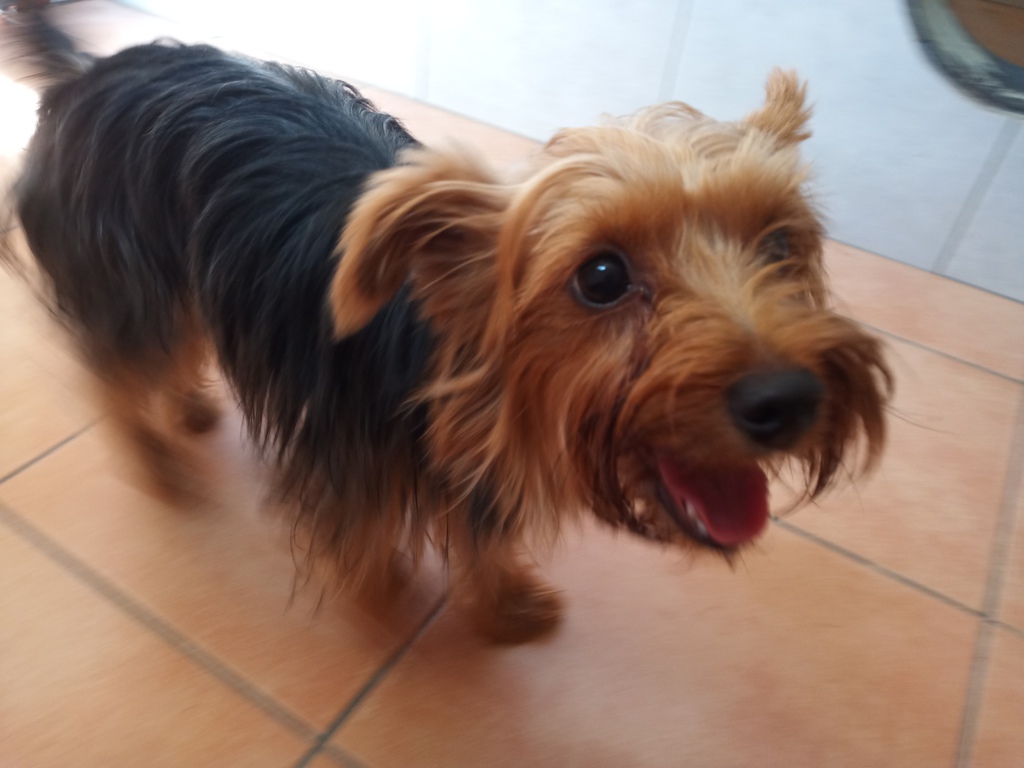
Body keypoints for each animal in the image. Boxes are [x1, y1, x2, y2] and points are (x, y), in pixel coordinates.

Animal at [3, 12, 890, 644]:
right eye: (601, 278)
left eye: (780, 246)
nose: (789, 398)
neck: (452, 375)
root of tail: (87, 74)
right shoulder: (349, 465)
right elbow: (365, 548)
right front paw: (383, 601)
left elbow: (482, 539)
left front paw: (505, 606)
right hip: (126, 280)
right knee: (117, 372)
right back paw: (158, 464)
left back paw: (187, 407)